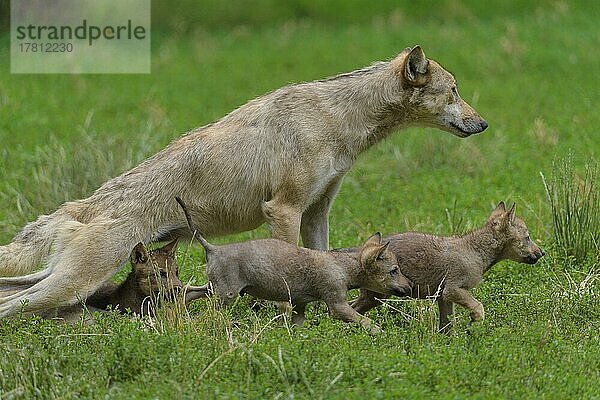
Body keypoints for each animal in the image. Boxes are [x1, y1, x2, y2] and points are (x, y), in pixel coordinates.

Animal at [0, 46, 488, 316]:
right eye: (454, 91)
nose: (483, 123)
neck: (337, 118)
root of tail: (83, 205)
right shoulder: (284, 210)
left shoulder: (317, 214)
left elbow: (328, 263)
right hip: (73, 282)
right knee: (13, 305)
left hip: (61, 280)